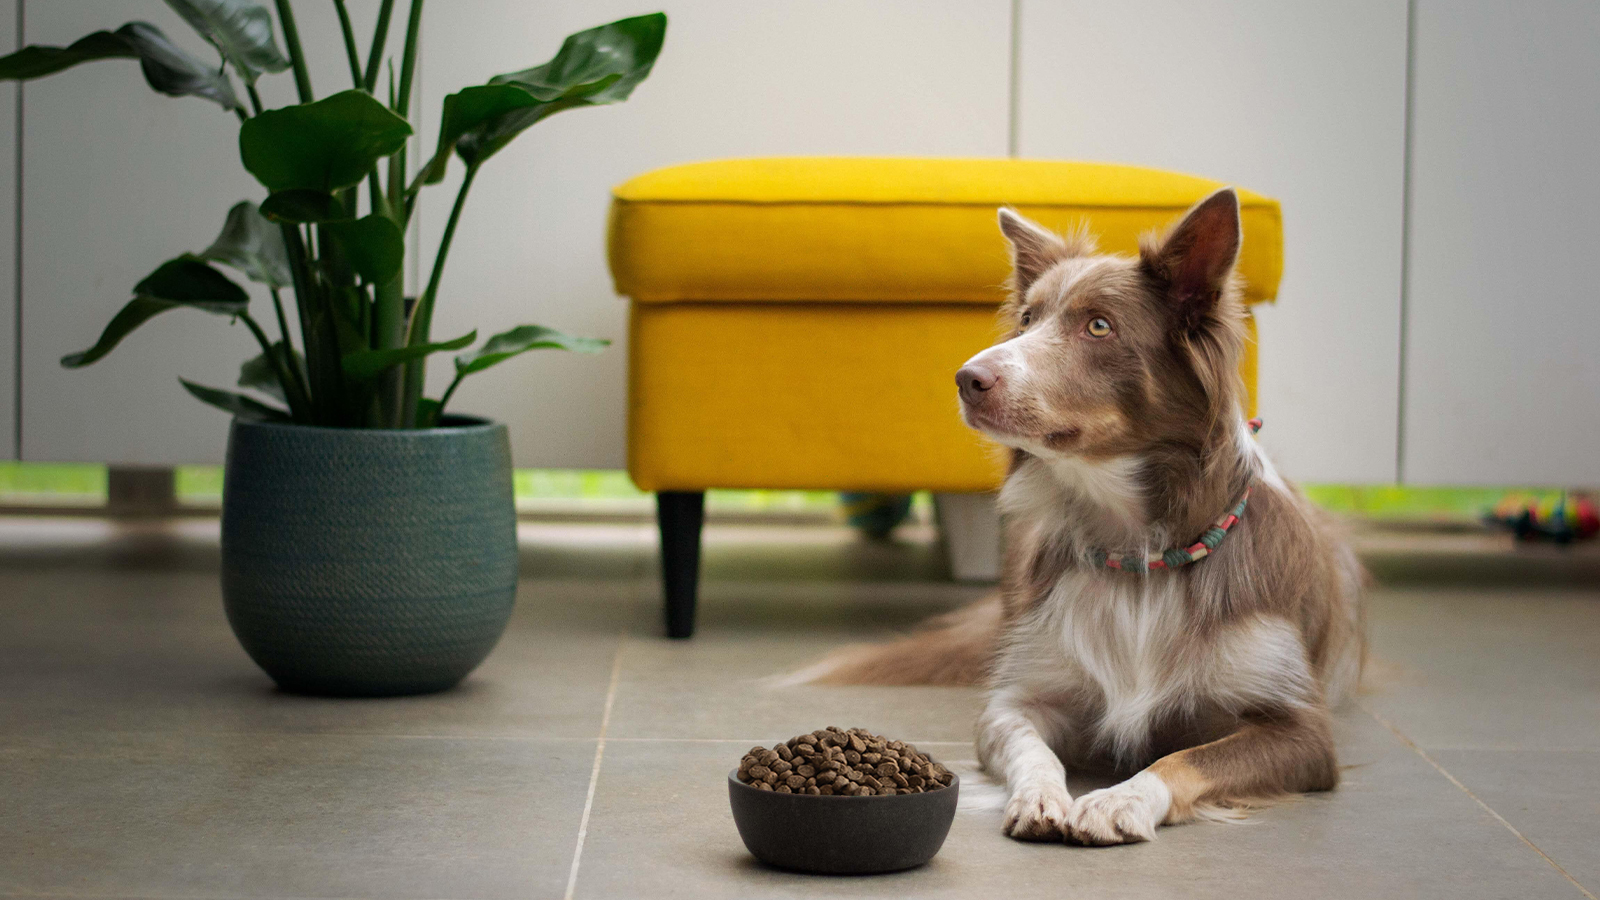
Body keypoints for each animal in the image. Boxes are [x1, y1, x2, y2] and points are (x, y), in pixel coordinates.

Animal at [806, 187, 1369, 839]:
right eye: (1027, 319)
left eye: (1099, 326)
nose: (966, 379)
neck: (1139, 551)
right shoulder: (1018, 698)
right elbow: (1030, 745)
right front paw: (1042, 796)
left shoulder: (1303, 731)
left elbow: (1184, 758)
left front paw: (1119, 800)